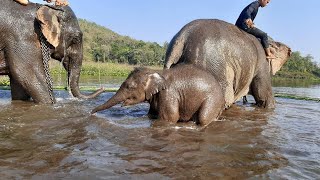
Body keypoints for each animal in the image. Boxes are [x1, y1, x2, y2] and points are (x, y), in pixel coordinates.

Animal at [91, 64, 224, 126]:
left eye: (129, 87)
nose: (91, 113)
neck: (154, 71)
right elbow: (151, 115)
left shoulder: (168, 93)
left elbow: (170, 118)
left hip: (213, 100)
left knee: (203, 118)